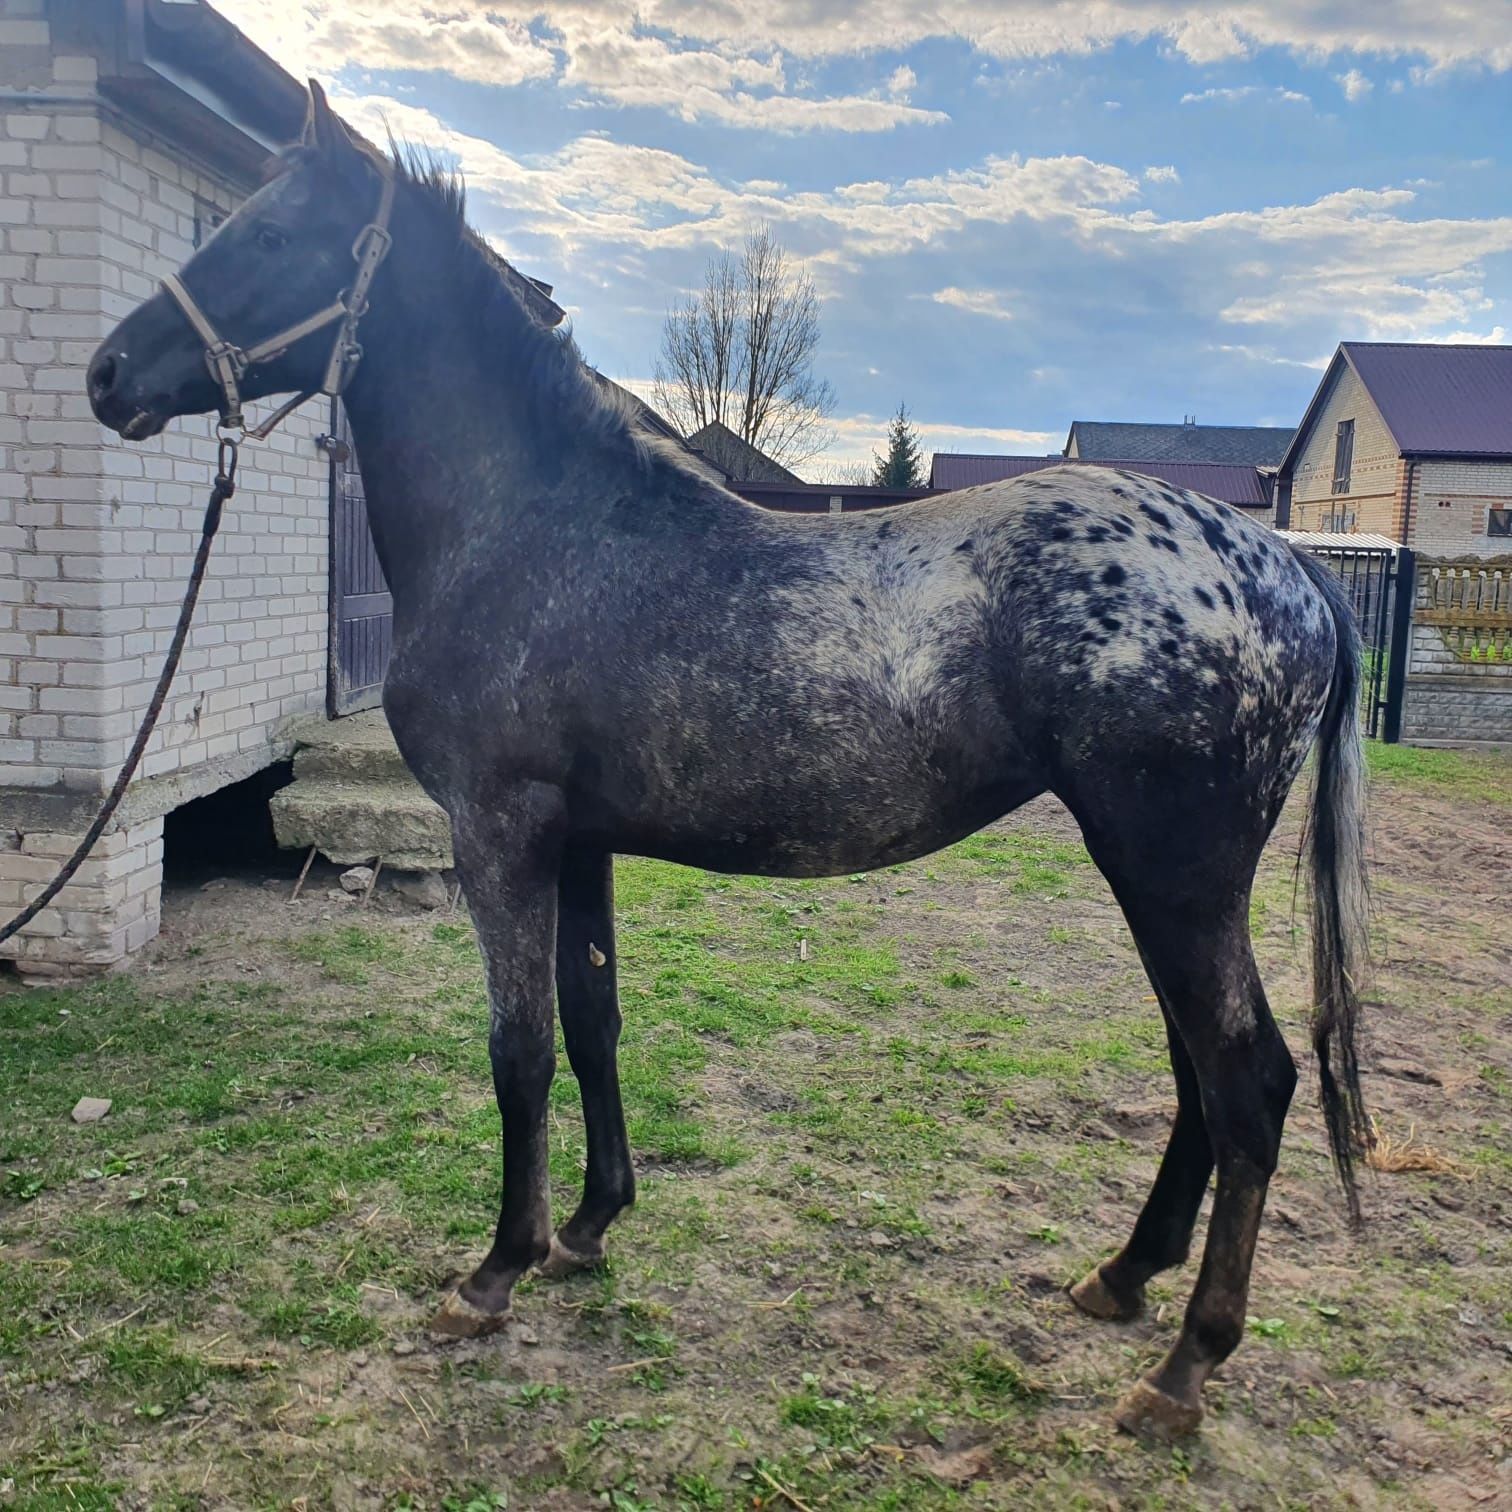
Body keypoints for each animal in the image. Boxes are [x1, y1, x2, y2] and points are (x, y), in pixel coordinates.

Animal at [88, 88, 1378, 1433]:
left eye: (268, 231)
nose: (106, 373)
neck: (534, 530)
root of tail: (1289, 570)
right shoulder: (578, 840)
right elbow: (592, 1019)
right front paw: (589, 1226)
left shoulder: (499, 831)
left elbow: (518, 1049)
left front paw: (493, 1271)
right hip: (1161, 879)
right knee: (1198, 1072)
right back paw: (1121, 1279)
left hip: (1172, 872)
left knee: (1248, 1082)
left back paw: (1183, 1368)